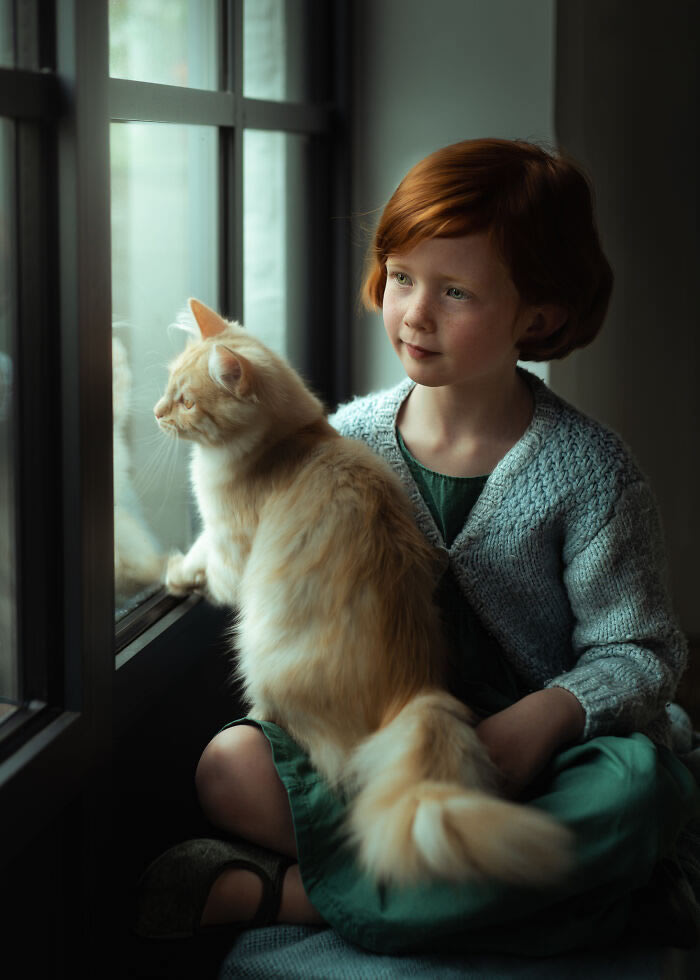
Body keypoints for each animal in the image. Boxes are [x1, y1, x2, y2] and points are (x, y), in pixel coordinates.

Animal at [156, 298, 572, 888]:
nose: (155, 412)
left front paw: (177, 573)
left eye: (187, 401)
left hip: (259, 652)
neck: (294, 442)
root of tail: (414, 689)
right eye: (168, 386)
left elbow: (206, 559)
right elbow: (198, 551)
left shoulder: (231, 547)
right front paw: (174, 573)